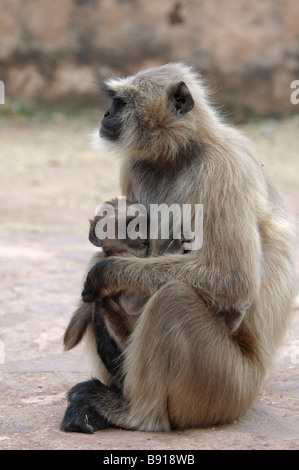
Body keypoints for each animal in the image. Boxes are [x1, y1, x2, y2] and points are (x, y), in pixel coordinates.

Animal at [61, 61, 298, 434]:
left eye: (121, 103)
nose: (106, 113)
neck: (181, 152)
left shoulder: (223, 167)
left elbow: (233, 281)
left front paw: (105, 273)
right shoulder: (135, 167)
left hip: (228, 388)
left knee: (173, 298)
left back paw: (135, 414)